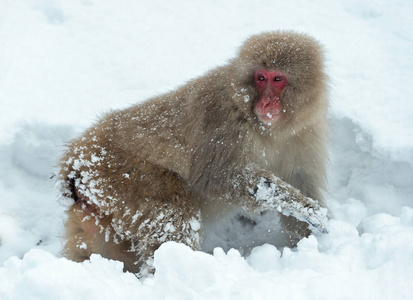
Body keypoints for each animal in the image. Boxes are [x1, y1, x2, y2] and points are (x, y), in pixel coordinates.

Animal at [58, 31, 328, 276]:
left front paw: (309, 242)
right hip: (120, 173)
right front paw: (302, 206)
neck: (269, 129)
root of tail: (76, 157)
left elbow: (301, 179)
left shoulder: (306, 131)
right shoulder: (224, 121)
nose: (267, 102)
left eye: (278, 78)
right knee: (174, 215)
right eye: (261, 78)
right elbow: (217, 177)